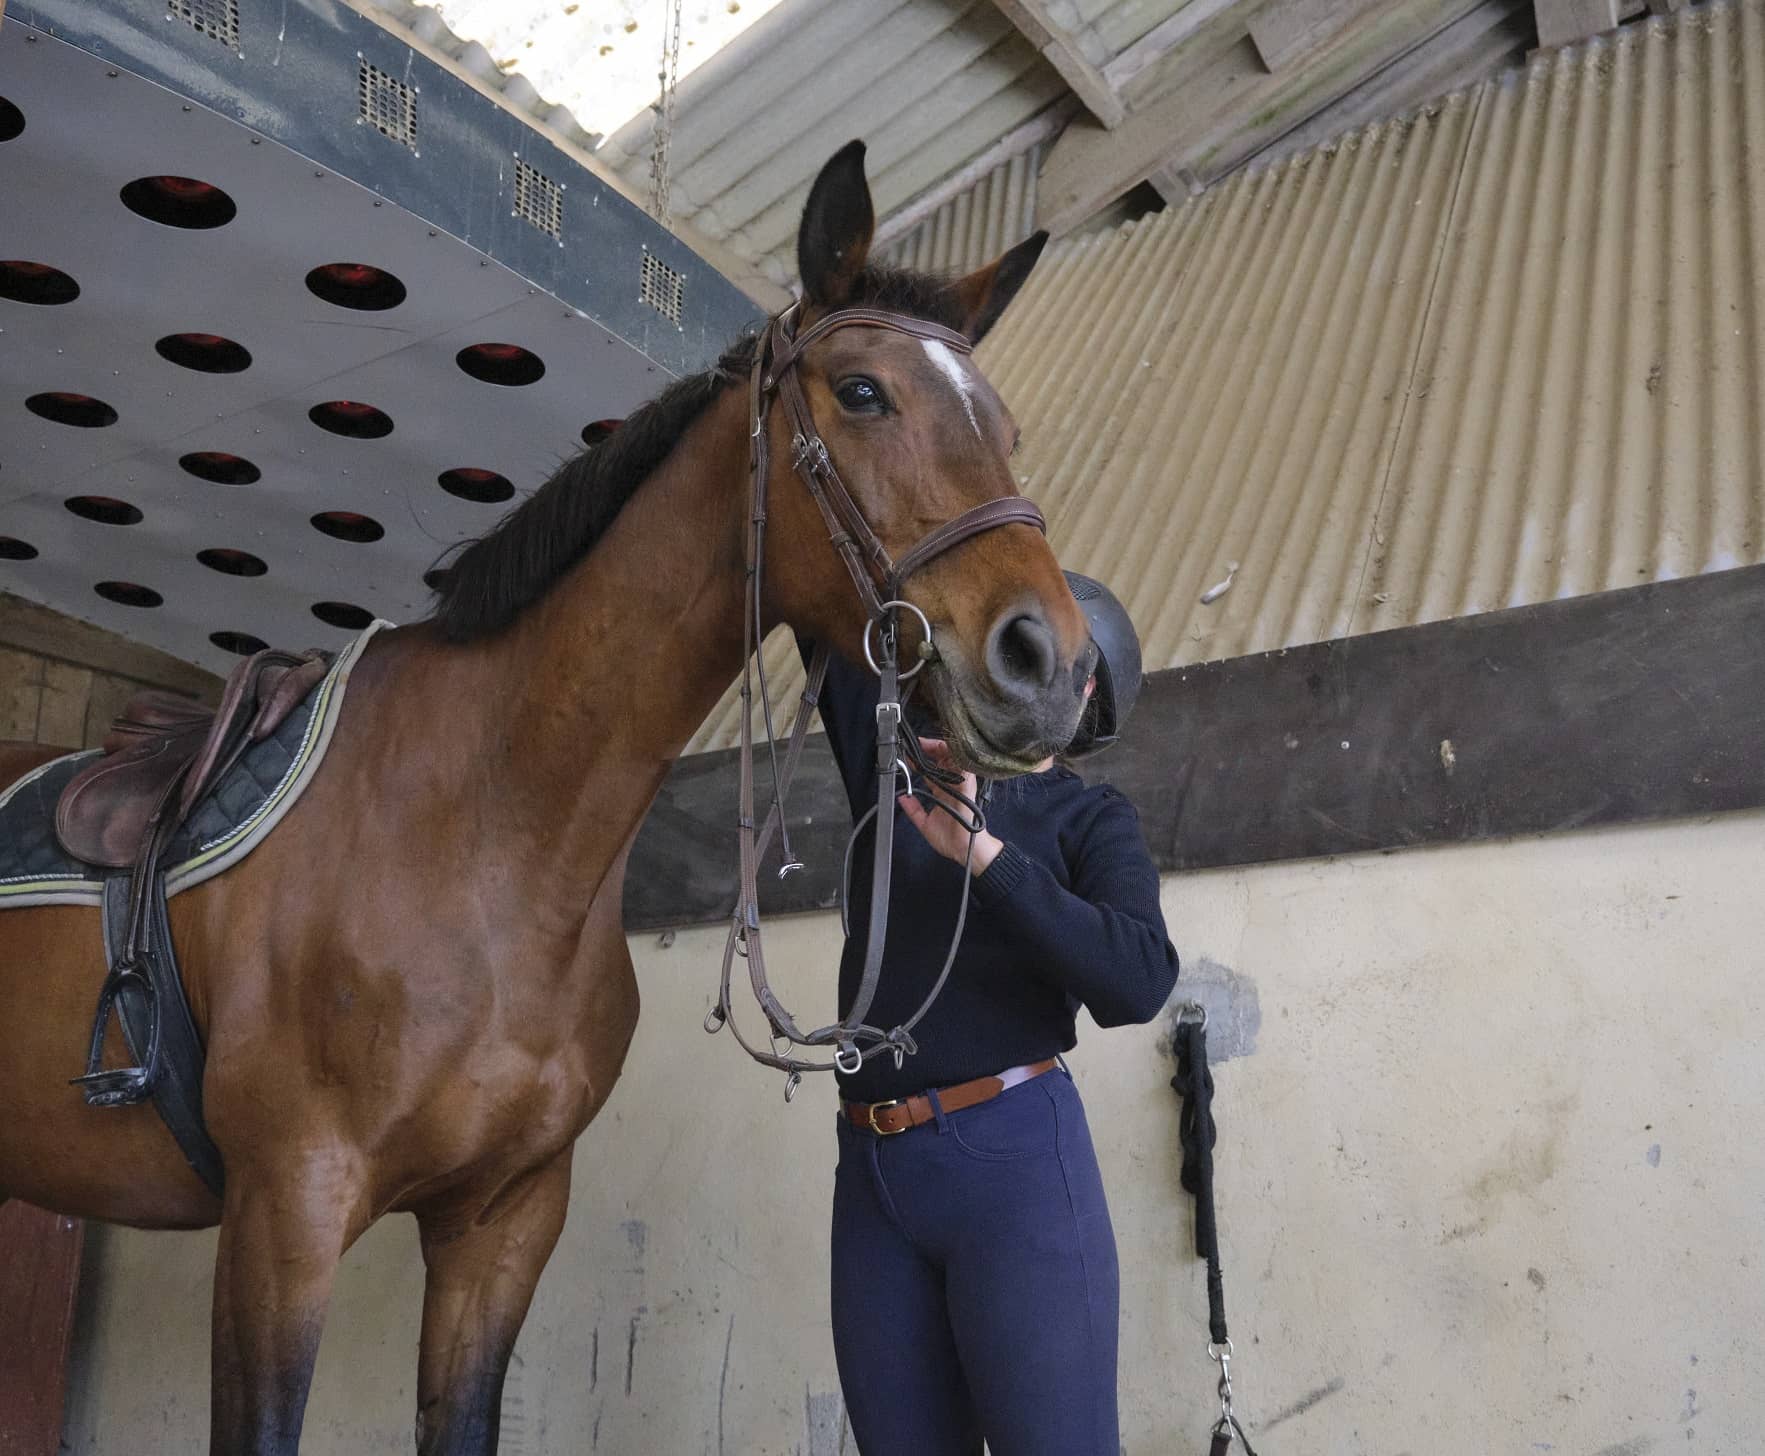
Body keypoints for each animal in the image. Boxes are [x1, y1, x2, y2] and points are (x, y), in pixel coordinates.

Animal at [0, 142, 1094, 1447]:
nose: (1049, 665)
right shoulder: (285, 1213)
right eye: (863, 393)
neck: (488, 834)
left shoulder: (504, 1219)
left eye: (1005, 425)